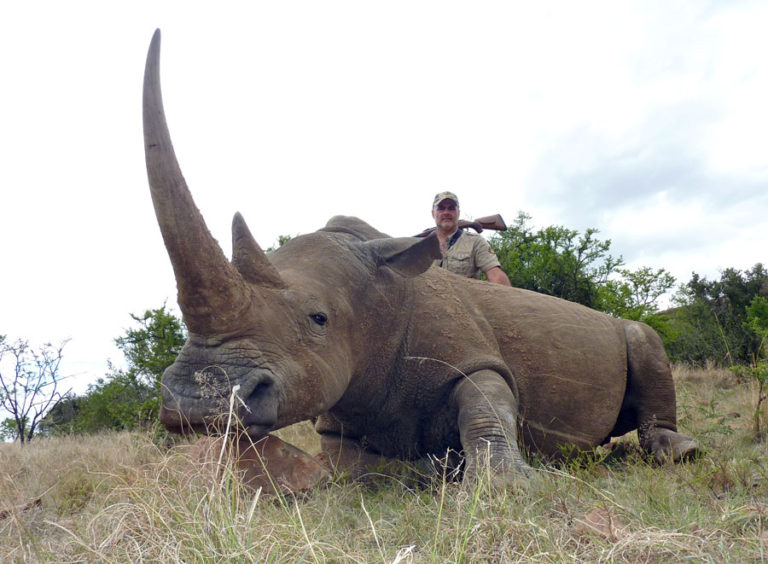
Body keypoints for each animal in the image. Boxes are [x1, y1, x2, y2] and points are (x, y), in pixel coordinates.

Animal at [144, 30, 697, 485]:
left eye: (319, 318)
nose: (195, 403)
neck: (377, 301)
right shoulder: (339, 408)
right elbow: (351, 465)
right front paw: (427, 468)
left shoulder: (473, 357)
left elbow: (487, 405)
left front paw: (499, 485)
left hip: (620, 331)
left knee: (641, 337)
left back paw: (679, 452)